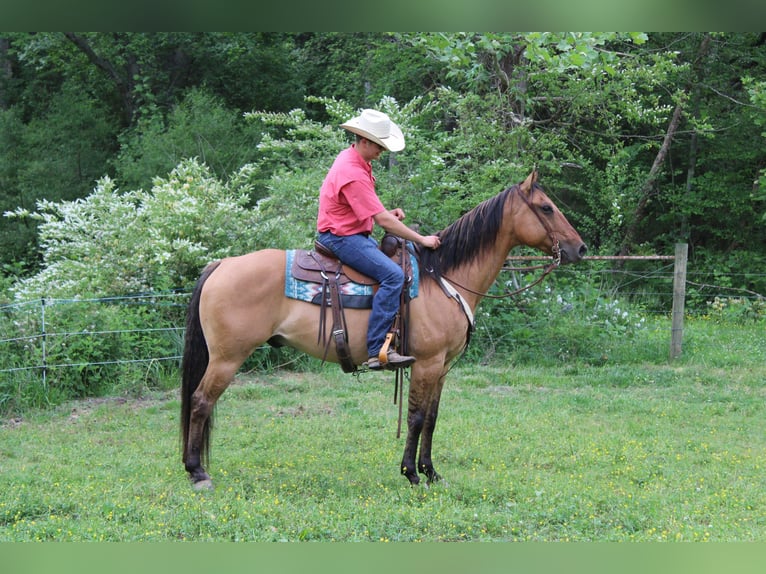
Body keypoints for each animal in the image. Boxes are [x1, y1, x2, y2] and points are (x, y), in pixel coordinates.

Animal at [180, 171, 588, 490]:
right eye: (546, 207)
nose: (580, 249)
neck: (444, 276)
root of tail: (221, 264)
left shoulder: (441, 367)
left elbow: (433, 418)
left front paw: (431, 472)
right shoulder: (425, 363)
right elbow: (416, 417)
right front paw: (411, 473)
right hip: (227, 357)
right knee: (201, 402)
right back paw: (197, 473)